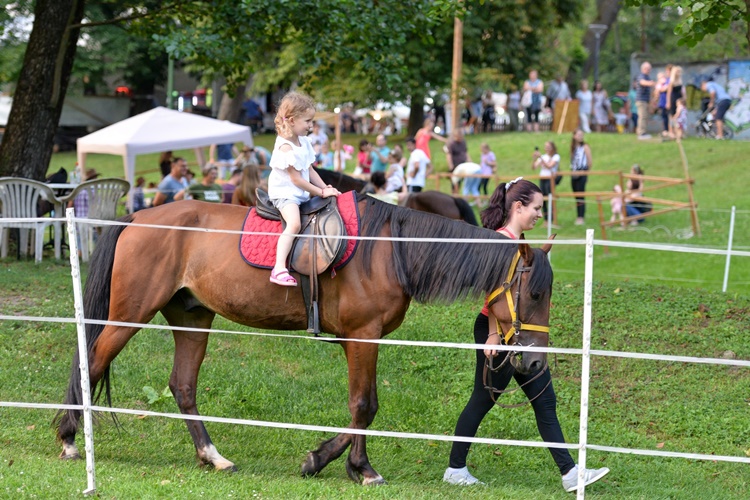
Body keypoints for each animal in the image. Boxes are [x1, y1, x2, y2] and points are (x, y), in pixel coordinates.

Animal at [55, 195, 556, 484]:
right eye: (534, 293)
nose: (534, 364)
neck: (390, 249)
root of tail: (138, 216)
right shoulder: (362, 337)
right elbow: (364, 406)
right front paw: (345, 466)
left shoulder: (365, 340)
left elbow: (365, 406)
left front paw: (342, 463)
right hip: (129, 316)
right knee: (91, 361)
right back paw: (69, 439)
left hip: (192, 318)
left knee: (182, 386)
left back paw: (213, 457)